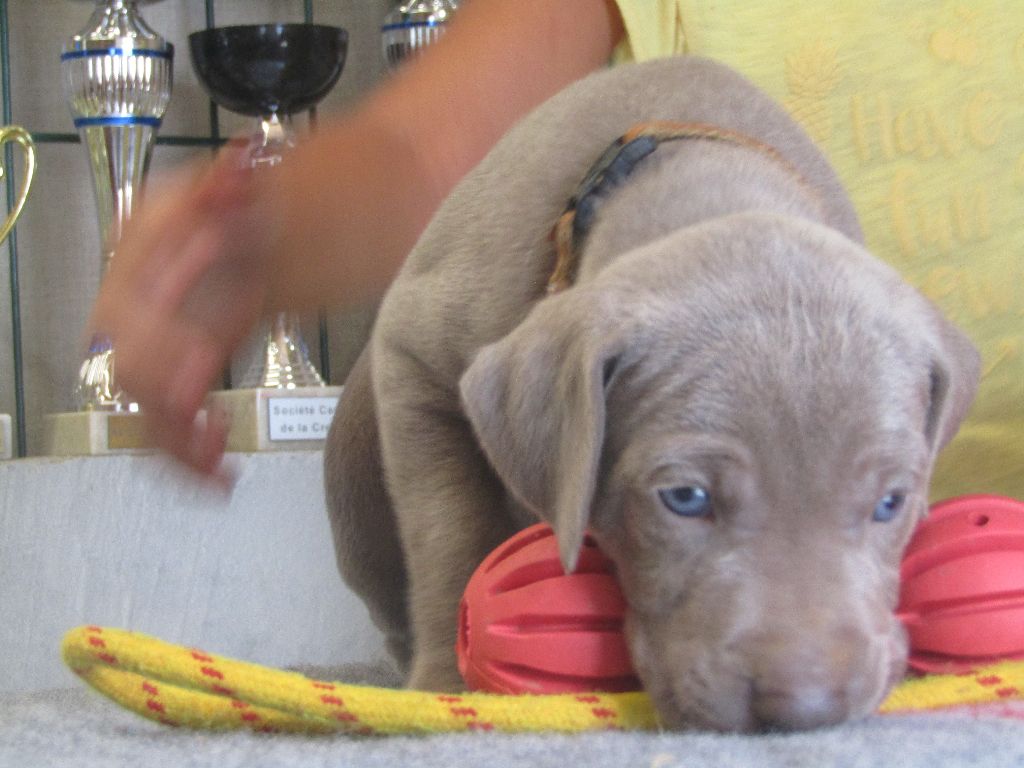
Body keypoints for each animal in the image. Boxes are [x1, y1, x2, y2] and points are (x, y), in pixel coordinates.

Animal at [324, 57, 979, 732]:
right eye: (685, 498)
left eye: (891, 503)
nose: (805, 708)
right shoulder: (415, 359)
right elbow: (449, 530)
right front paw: (444, 683)